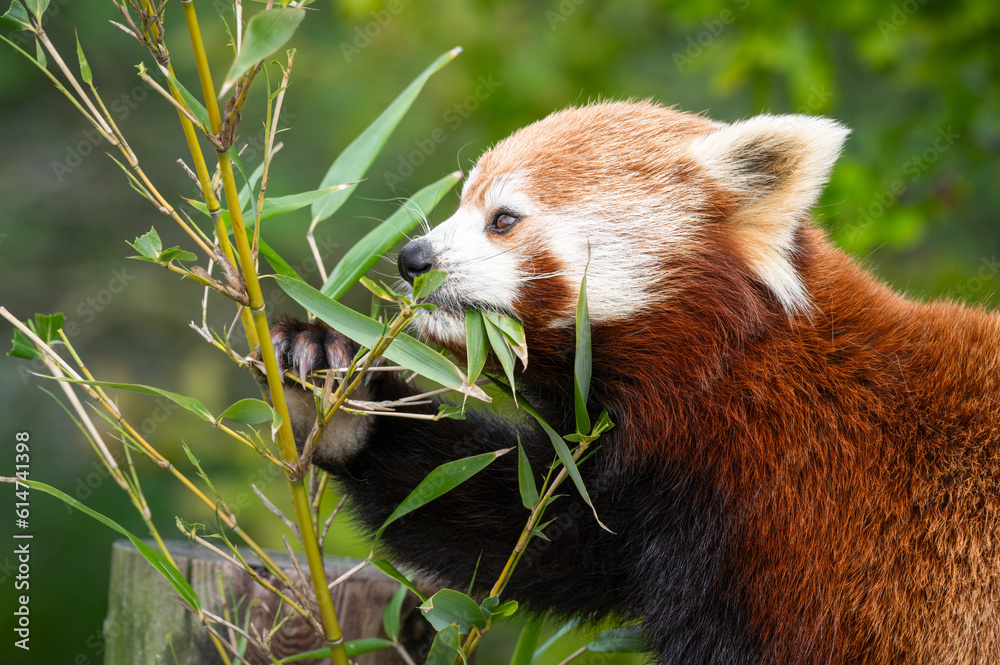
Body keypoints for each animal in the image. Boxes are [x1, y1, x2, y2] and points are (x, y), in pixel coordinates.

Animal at [269, 101, 1000, 664]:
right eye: (460, 204)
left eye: (503, 219)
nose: (412, 257)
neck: (736, 382)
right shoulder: (641, 493)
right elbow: (521, 525)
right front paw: (335, 386)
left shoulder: (817, 530)